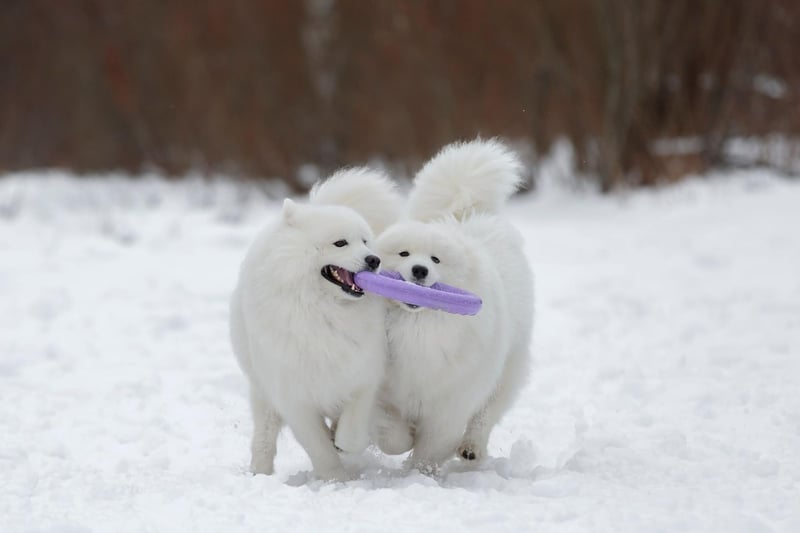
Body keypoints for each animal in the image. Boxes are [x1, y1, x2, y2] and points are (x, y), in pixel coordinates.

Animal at [230, 168, 400, 480]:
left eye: (365, 241)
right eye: (340, 243)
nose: (374, 260)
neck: (324, 311)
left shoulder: (362, 374)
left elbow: (353, 428)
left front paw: (342, 443)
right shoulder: (294, 396)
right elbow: (317, 445)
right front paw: (335, 477)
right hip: (263, 393)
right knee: (264, 436)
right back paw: (260, 472)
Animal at [372, 139, 536, 472]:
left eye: (436, 259)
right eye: (404, 253)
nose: (419, 270)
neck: (419, 330)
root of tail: (464, 214)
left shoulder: (449, 402)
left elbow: (433, 445)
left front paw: (419, 473)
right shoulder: (388, 391)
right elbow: (391, 433)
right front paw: (405, 440)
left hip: (504, 371)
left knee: (485, 415)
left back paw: (472, 448)